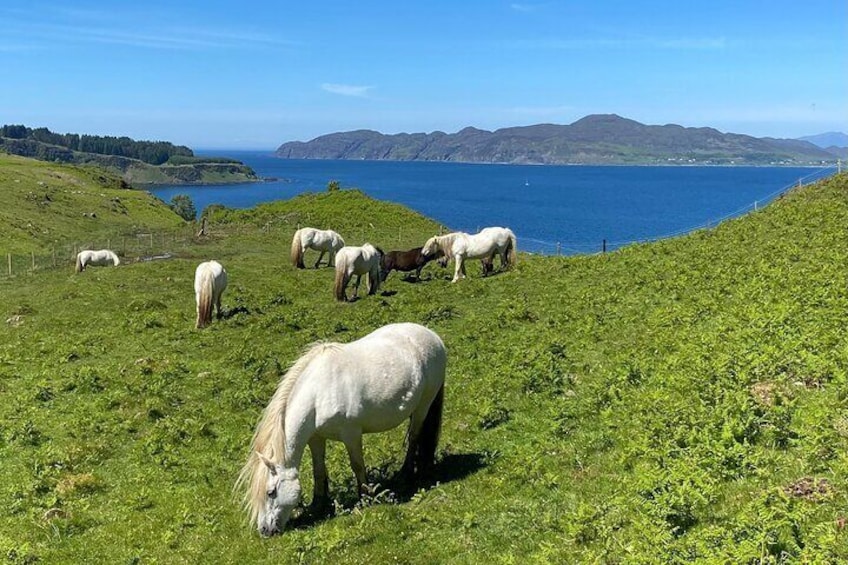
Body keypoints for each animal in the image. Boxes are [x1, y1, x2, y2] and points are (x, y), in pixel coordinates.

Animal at [235, 320, 448, 536]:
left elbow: (357, 465)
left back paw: (406, 473)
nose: (265, 531)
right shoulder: (316, 438)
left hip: (424, 405)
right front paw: (318, 504)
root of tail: (433, 337)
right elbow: (318, 470)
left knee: (414, 437)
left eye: (271, 492)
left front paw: (365, 498)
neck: (318, 394)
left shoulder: (351, 434)